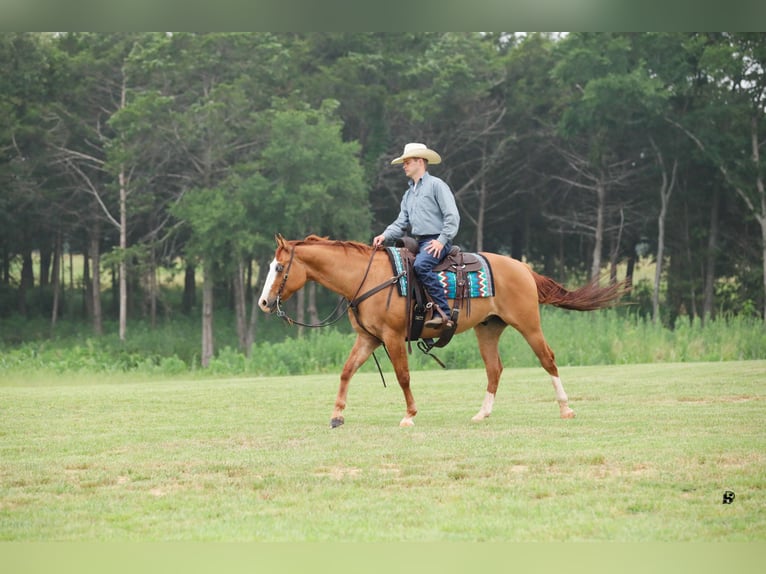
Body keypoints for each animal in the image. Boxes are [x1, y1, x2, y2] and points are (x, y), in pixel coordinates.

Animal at [260, 234, 632, 428]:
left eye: (279, 267)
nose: (264, 302)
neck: (368, 278)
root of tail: (523, 268)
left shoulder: (392, 337)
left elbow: (403, 376)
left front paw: (409, 415)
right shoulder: (369, 338)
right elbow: (346, 371)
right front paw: (337, 415)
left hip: (528, 323)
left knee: (548, 359)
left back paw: (566, 408)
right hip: (488, 329)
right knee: (494, 369)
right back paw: (482, 413)